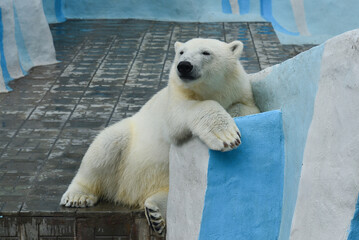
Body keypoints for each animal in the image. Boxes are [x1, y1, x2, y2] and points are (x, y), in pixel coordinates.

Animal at [61, 38, 258, 235]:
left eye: (206, 52)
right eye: (181, 52)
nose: (184, 66)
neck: (211, 90)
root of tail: (127, 192)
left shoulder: (239, 91)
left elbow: (247, 108)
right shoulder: (174, 99)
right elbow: (184, 113)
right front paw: (228, 137)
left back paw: (155, 213)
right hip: (129, 147)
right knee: (104, 148)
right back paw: (77, 196)